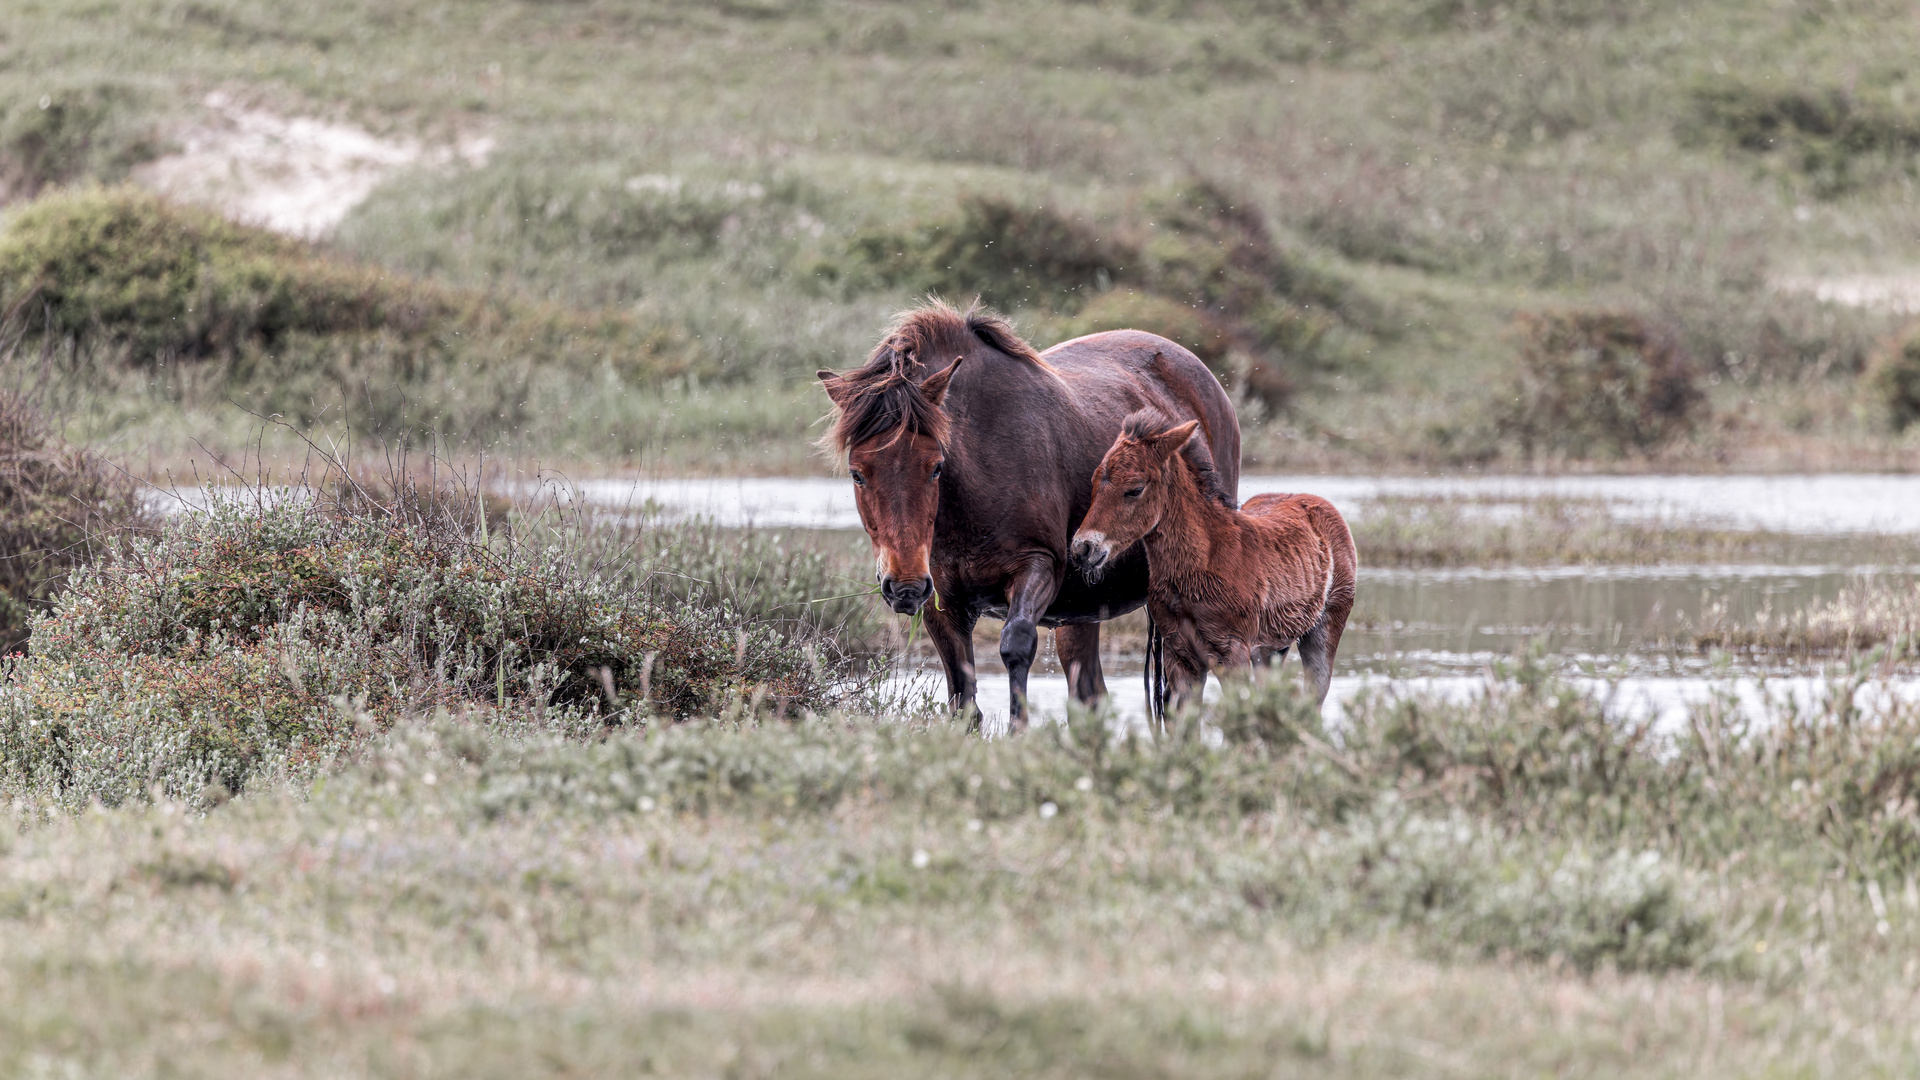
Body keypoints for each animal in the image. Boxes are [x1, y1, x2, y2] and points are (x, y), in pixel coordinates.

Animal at [814, 297, 1236, 726]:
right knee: (1091, 691)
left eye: (935, 467)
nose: (905, 587)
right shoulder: (943, 602)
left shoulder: (1039, 565)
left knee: (1186, 692)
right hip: (1082, 614)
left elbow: (1015, 645)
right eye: (857, 474)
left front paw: (1019, 731)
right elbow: (963, 694)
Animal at [1075, 407, 1359, 711]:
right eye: (1094, 481)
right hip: (1271, 650)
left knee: (1313, 697)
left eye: (1134, 489)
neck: (1202, 562)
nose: (1083, 548)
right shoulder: (1180, 656)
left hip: (1323, 630)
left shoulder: (1231, 650)